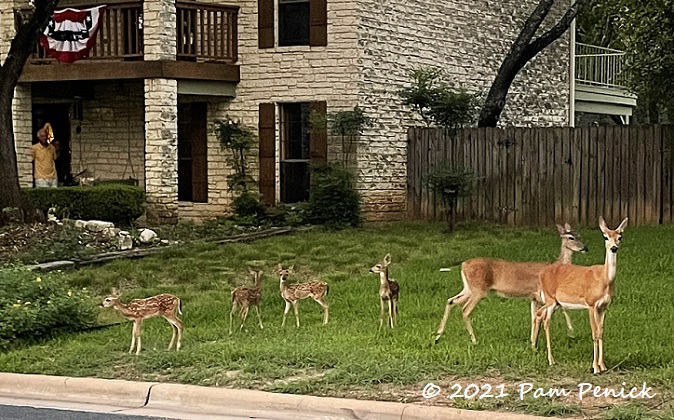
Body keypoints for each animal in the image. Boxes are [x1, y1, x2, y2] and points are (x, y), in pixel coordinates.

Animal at [434, 223, 584, 348]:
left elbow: (534, 317)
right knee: (465, 310)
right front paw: (570, 332)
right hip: (478, 289)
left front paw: (532, 342)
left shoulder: (534, 297)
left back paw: (437, 337)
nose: (585, 248)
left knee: (451, 301)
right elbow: (559, 309)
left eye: (579, 235)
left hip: (468, 288)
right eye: (571, 237)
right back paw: (474, 340)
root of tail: (463, 264)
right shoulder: (542, 294)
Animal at [536, 217, 624, 374]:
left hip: (555, 302)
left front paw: (603, 365)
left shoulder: (604, 306)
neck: (604, 279)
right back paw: (551, 360)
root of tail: (541, 273)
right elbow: (594, 332)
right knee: (546, 321)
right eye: (605, 236)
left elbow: (601, 332)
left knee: (541, 316)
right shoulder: (591, 303)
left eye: (620, 237)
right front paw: (595, 367)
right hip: (550, 298)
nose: (614, 248)